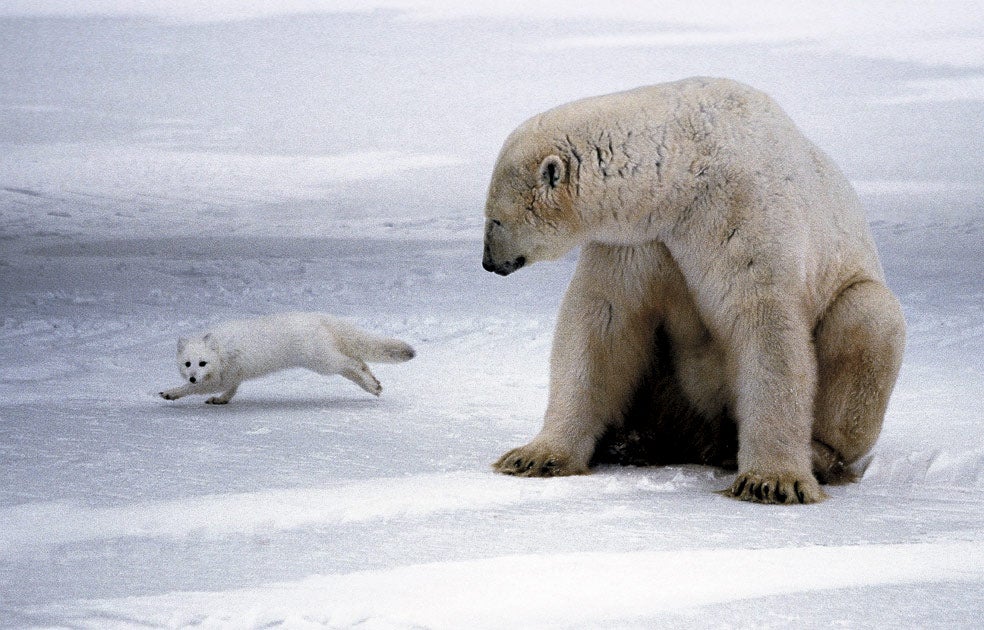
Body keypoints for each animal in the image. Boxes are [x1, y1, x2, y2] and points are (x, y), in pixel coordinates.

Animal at [482, 77, 906, 504]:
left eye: (495, 220)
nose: (488, 263)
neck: (684, 170)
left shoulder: (744, 215)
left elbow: (765, 328)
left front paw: (770, 481)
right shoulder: (641, 239)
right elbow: (603, 322)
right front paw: (535, 457)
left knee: (869, 318)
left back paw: (813, 455)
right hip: (671, 388)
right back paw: (633, 441)